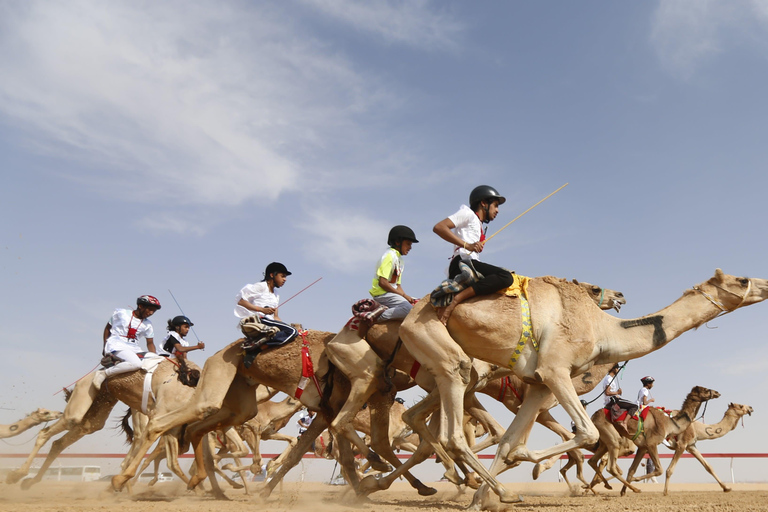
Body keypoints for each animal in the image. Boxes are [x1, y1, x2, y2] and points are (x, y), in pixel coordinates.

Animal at [388, 268, 768, 508]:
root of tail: (411, 313)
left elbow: (511, 440)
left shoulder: (540, 384)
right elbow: (584, 434)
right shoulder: (556, 371)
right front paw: (526, 467)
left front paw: (482, 498)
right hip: (441, 350)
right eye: (742, 279)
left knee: (421, 418)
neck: (603, 329)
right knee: (451, 429)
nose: (765, 284)